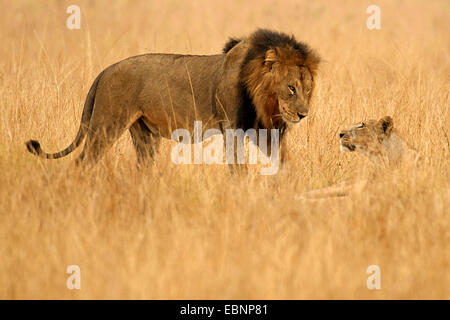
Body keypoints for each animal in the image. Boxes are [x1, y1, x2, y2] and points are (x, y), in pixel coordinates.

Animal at [25, 28, 320, 166]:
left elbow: (282, 160)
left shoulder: (262, 130)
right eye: (291, 88)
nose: (303, 114)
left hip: (144, 135)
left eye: (308, 90)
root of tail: (105, 71)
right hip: (106, 125)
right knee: (82, 162)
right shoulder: (232, 128)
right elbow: (237, 167)